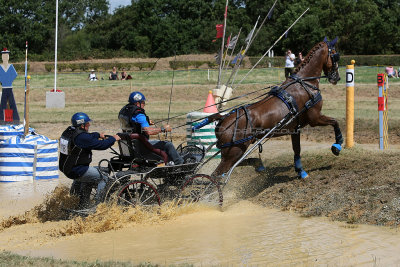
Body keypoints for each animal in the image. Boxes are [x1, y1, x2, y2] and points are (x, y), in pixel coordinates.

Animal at [211, 37, 342, 180]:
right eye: (335, 55)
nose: (337, 77)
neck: (304, 82)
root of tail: (223, 119)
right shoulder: (315, 118)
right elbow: (335, 122)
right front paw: (337, 145)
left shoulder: (295, 128)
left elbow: (297, 150)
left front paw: (300, 170)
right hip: (235, 151)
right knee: (216, 175)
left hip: (236, 151)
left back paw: (257, 164)